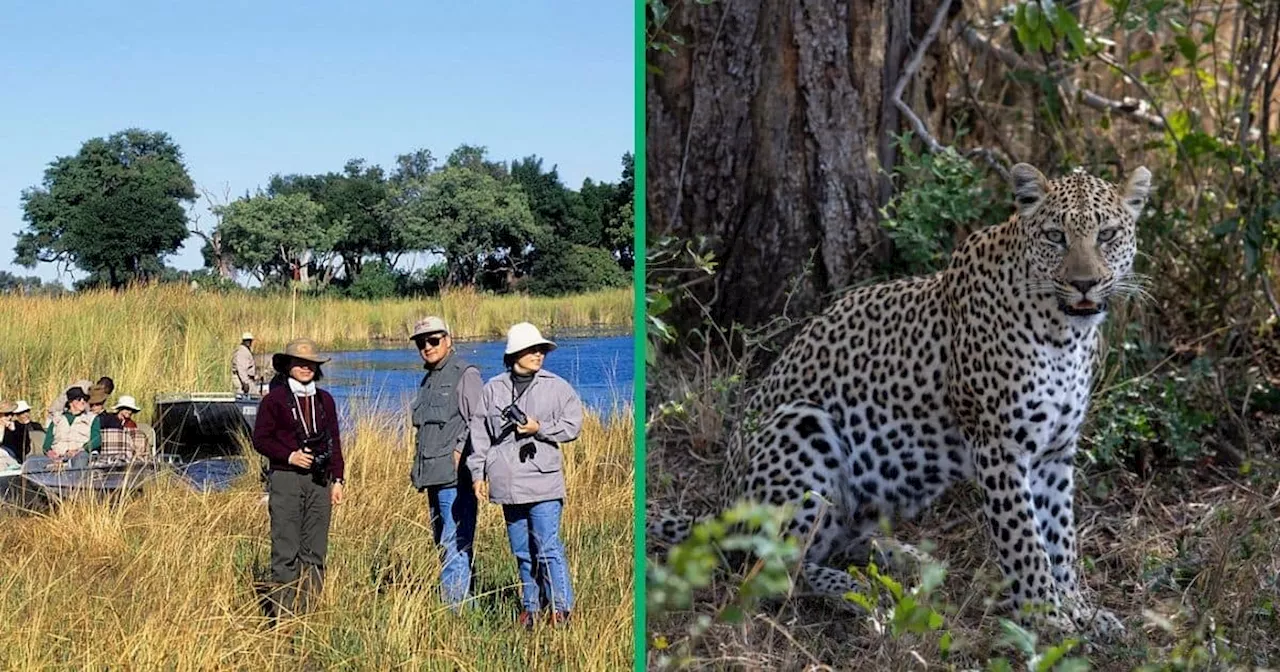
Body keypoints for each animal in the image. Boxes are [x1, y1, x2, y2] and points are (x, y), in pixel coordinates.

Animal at [650, 163, 1152, 640]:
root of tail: (718, 509)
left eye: (1107, 235)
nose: (1085, 283)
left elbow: (1061, 537)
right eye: (1055, 236)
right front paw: (1047, 618)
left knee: (836, 541)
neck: (1065, 334)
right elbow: (1025, 540)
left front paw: (1081, 610)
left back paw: (904, 559)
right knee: (771, 571)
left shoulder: (1055, 450)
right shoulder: (999, 445)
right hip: (801, 425)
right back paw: (855, 592)